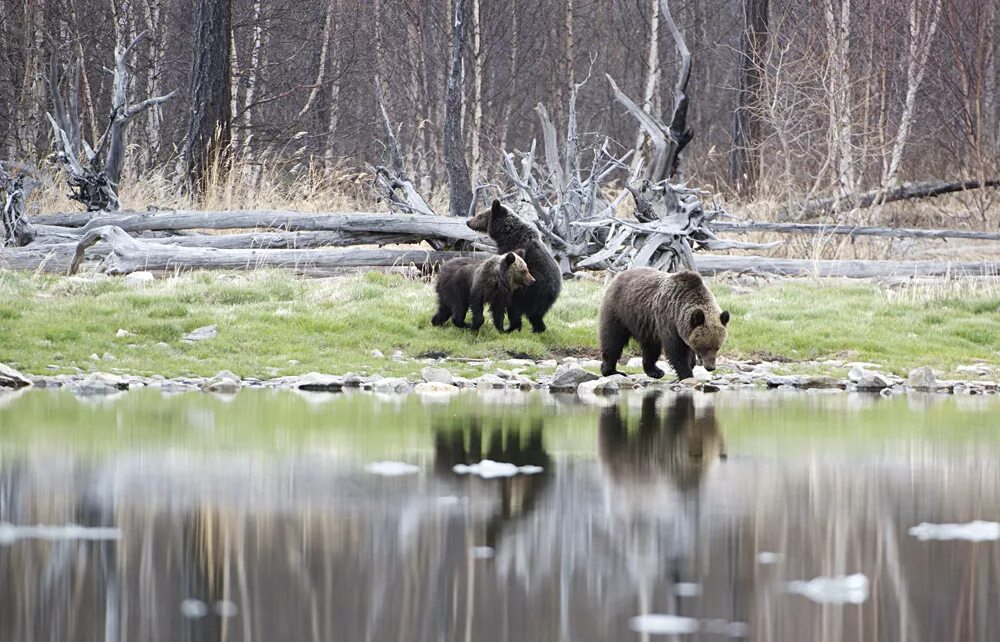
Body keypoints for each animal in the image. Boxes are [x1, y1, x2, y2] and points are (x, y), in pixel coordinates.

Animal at [462, 199, 560, 330]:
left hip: (526, 293)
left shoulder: (510, 250)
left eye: (480, 215)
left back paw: (511, 327)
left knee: (515, 309)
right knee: (536, 316)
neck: (506, 234)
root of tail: (553, 290)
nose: (468, 222)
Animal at [596, 266, 732, 378]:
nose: (710, 367)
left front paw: (691, 364)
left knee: (651, 348)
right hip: (619, 311)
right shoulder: (668, 320)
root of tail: (618, 276)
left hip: (646, 325)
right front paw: (687, 374)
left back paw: (655, 371)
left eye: (717, 347)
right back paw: (611, 370)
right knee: (613, 340)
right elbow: (676, 352)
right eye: (705, 347)